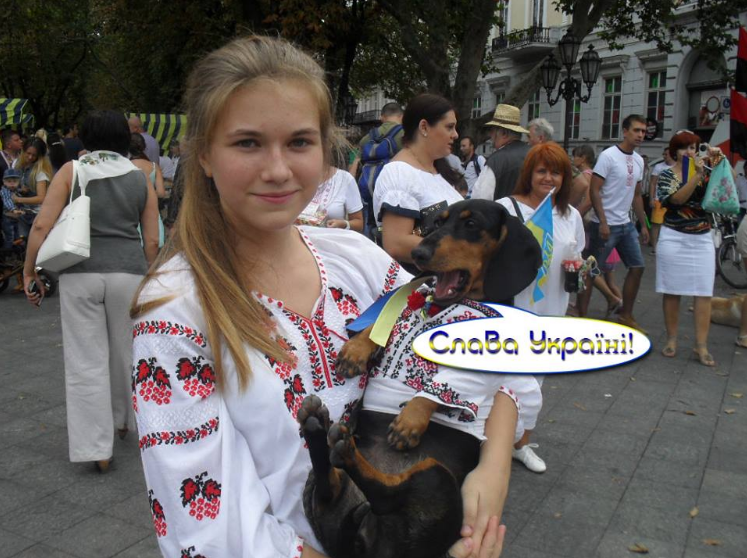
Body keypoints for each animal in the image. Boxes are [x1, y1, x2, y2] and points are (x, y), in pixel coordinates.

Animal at [298, 199, 543, 558]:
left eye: (471, 225)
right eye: (435, 224)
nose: (419, 253)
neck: (439, 308)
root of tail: (359, 542)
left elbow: (437, 390)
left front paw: (409, 421)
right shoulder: (400, 317)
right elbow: (377, 329)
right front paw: (355, 351)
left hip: (435, 475)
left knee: (384, 494)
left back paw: (342, 444)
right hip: (323, 491)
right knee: (331, 485)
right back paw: (317, 425)